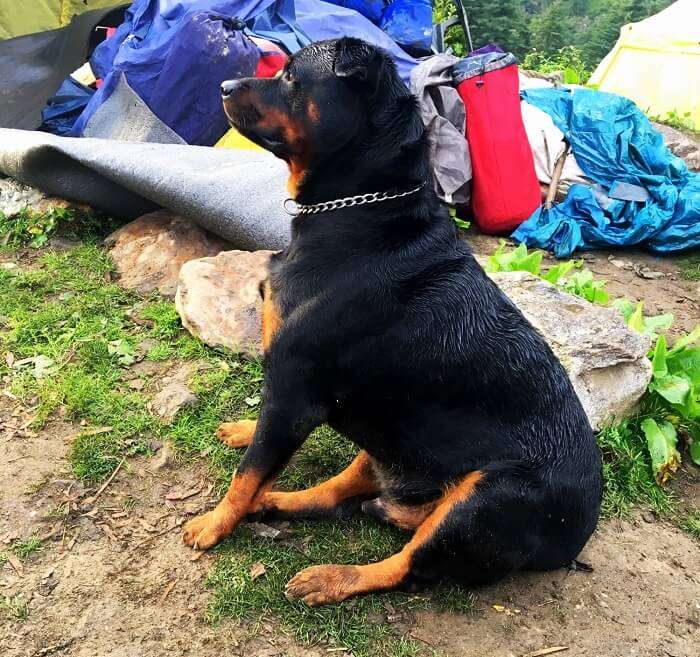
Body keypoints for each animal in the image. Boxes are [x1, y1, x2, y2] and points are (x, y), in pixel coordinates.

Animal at [183, 38, 604, 604]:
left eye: (291, 77)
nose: (224, 86)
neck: (357, 212)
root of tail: (578, 534)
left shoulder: (294, 389)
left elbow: (249, 472)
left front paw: (214, 524)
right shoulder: (291, 394)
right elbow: (260, 450)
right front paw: (245, 435)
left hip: (487, 496)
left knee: (409, 566)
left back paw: (331, 577)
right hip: (387, 435)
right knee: (347, 488)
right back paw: (283, 504)